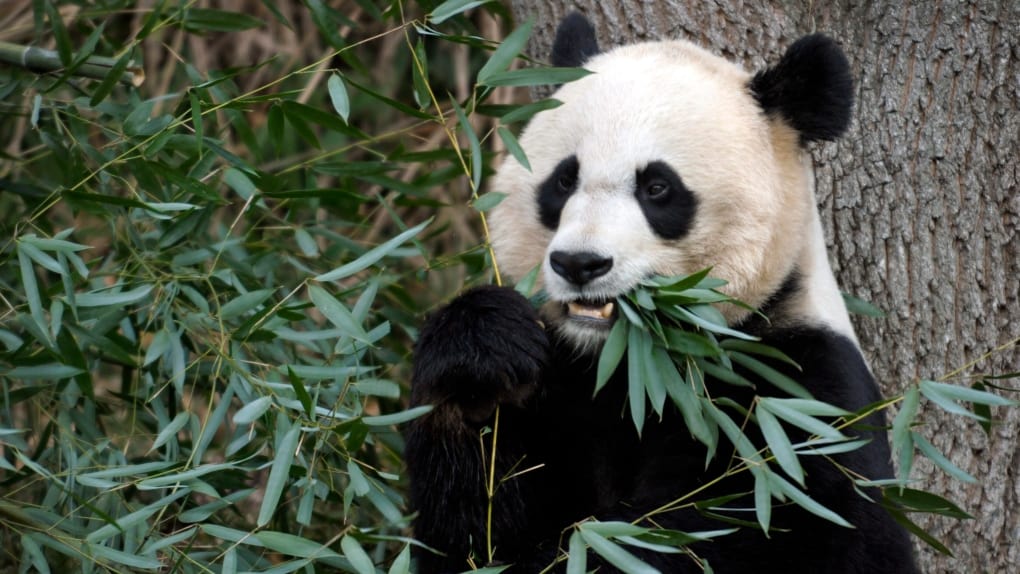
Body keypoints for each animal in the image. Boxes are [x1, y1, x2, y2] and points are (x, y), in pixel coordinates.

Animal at [405, 13, 926, 574]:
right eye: (564, 181)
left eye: (657, 187)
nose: (580, 264)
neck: (630, 364)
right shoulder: (564, 386)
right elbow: (473, 529)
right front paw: (483, 358)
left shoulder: (796, 401)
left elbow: (724, 530)